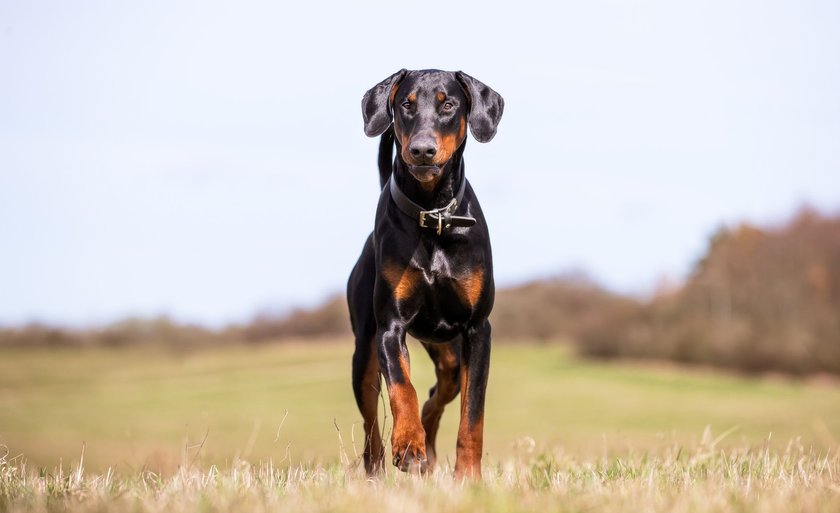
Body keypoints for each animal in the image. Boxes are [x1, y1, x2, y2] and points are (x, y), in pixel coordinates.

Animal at [346, 69, 502, 480]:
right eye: (406, 104)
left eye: (449, 105)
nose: (421, 150)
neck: (433, 216)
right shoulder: (390, 327)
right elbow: (403, 388)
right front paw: (408, 445)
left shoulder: (478, 329)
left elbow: (473, 414)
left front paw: (469, 476)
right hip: (364, 350)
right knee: (371, 421)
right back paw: (382, 468)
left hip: (447, 348)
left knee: (440, 391)